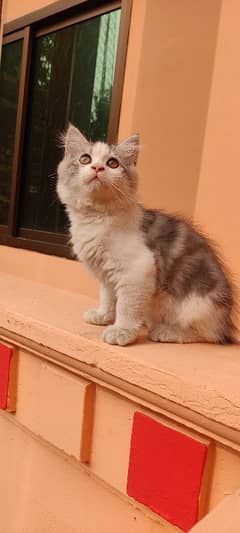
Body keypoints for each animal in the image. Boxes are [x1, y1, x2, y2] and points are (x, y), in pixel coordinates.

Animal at [56, 124, 236, 344]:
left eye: (112, 163)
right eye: (85, 159)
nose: (97, 168)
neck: (96, 218)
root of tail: (226, 320)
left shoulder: (137, 270)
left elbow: (126, 306)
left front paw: (121, 330)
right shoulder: (107, 275)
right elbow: (107, 297)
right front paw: (103, 316)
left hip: (197, 304)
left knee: (206, 334)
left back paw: (165, 330)